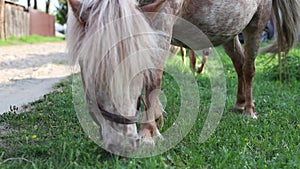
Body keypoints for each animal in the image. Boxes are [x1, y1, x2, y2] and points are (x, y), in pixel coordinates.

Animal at [67, 0, 298, 156]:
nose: (122, 144)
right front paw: (156, 121)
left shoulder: (163, 18)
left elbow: (154, 79)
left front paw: (148, 134)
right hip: (230, 30)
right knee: (239, 64)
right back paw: (239, 104)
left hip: (256, 23)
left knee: (249, 69)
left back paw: (249, 110)